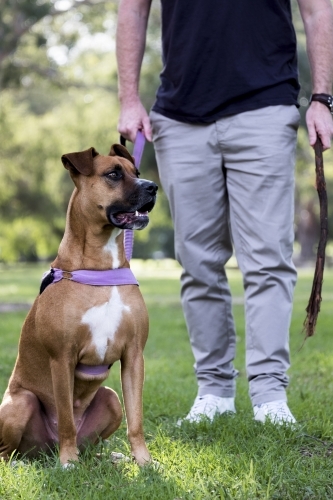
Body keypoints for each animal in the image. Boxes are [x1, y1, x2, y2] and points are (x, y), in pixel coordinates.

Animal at [0, 143, 157, 466]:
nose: (152, 186)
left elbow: (136, 421)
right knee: (9, 451)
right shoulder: (62, 358)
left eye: (136, 172)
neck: (100, 267)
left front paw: (144, 462)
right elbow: (66, 420)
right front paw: (68, 462)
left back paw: (106, 457)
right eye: (113, 174)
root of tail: (45, 451)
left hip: (110, 398)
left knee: (94, 439)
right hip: (21, 403)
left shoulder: (134, 356)